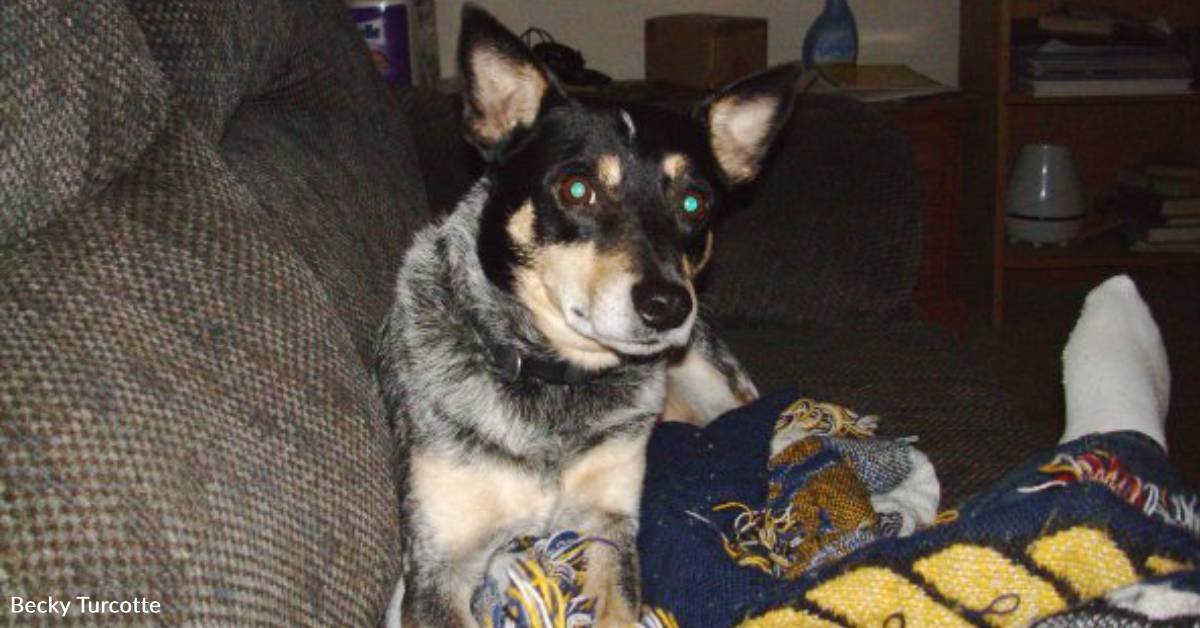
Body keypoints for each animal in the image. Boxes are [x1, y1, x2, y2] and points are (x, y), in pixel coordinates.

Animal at [377, 5, 798, 625]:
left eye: (693, 202)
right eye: (577, 189)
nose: (668, 304)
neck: (556, 379)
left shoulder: (609, 521)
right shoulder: (439, 561)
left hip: (712, 376)